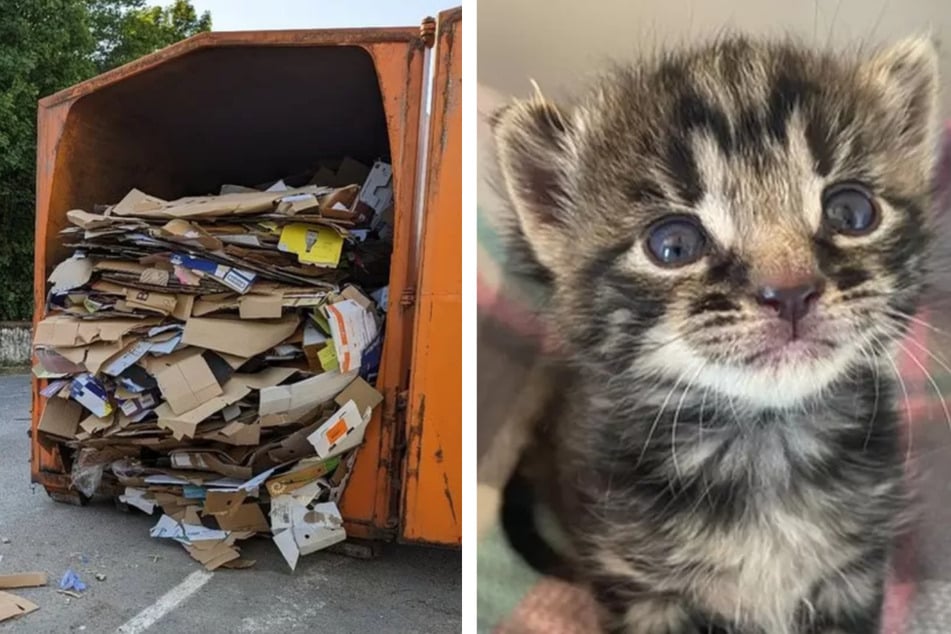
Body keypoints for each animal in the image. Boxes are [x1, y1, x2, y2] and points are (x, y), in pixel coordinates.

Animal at [494, 33, 940, 632]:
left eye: (851, 211)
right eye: (674, 245)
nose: (790, 292)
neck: (764, 447)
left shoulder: (853, 572)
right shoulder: (638, 586)